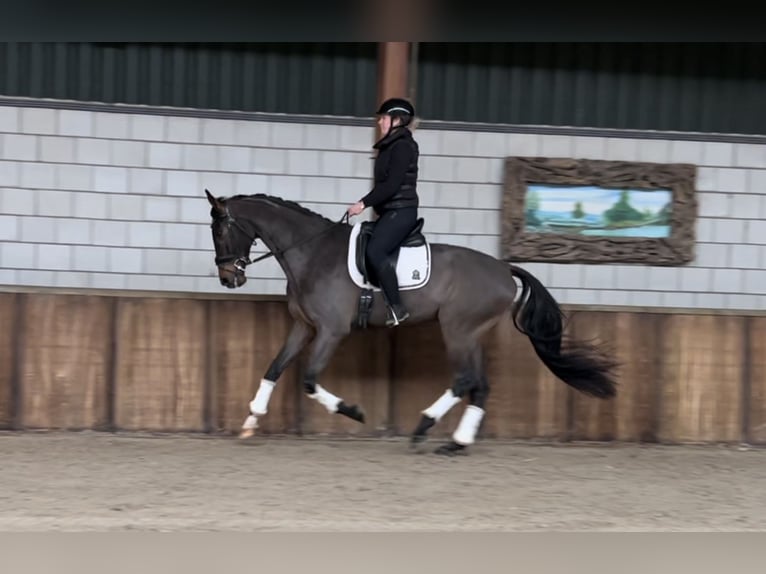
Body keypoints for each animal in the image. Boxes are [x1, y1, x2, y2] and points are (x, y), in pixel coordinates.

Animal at [207, 191, 620, 456]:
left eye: (221, 230)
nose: (229, 278)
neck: (311, 252)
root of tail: (505, 269)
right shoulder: (304, 327)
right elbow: (274, 368)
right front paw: (251, 419)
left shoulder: (331, 330)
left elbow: (308, 380)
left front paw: (354, 411)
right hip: (470, 334)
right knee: (480, 384)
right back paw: (456, 443)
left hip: (457, 330)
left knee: (464, 380)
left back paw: (424, 428)